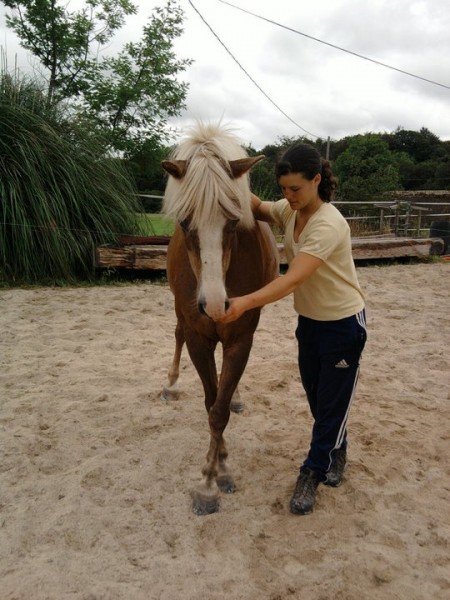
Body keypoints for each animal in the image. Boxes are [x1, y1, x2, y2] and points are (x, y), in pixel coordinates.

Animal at [160, 123, 280, 516]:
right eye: (185, 222)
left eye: (233, 221)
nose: (214, 305)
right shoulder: (198, 339)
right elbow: (210, 404)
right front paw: (211, 479)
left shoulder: (240, 337)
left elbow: (220, 409)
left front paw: (215, 478)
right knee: (176, 333)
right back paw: (170, 385)